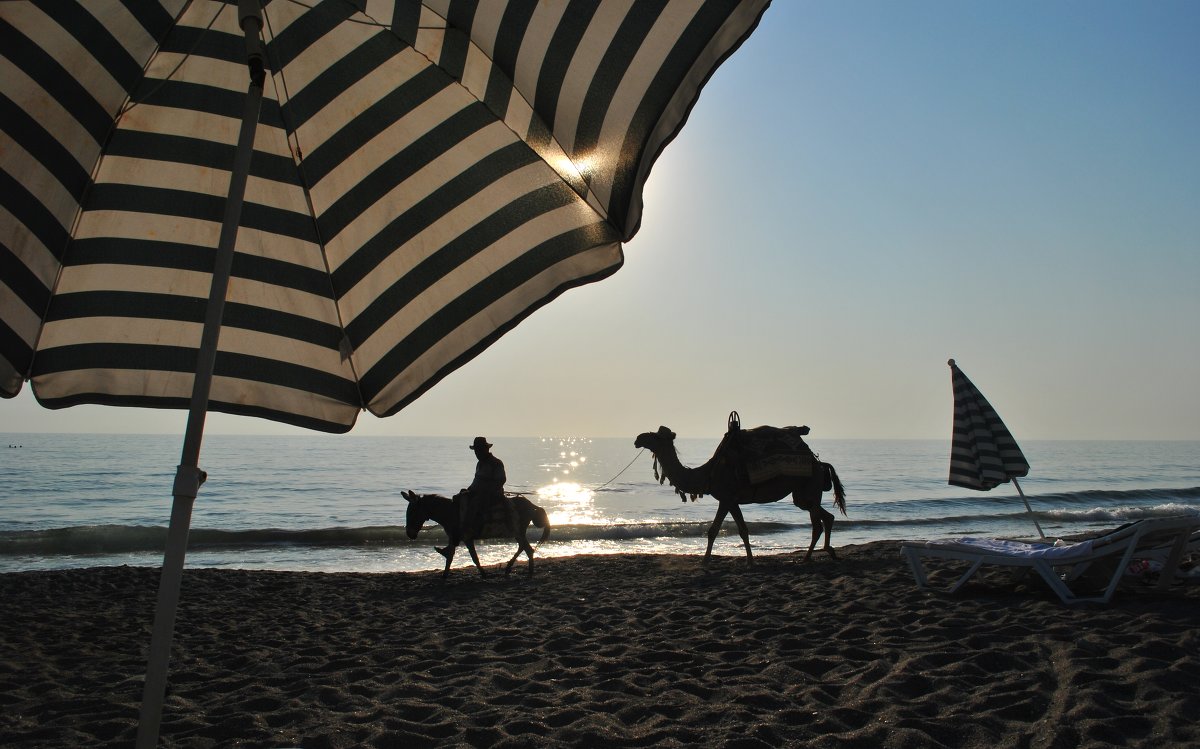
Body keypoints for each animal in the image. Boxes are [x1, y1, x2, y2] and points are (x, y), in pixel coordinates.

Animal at [638, 424, 844, 564]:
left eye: (655, 436)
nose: (638, 438)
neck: (708, 473)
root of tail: (820, 463)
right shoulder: (731, 501)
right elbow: (739, 530)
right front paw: (749, 560)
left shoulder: (727, 498)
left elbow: (717, 530)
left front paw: (707, 561)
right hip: (802, 495)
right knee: (826, 516)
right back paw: (829, 551)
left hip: (810, 486)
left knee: (817, 525)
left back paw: (807, 557)